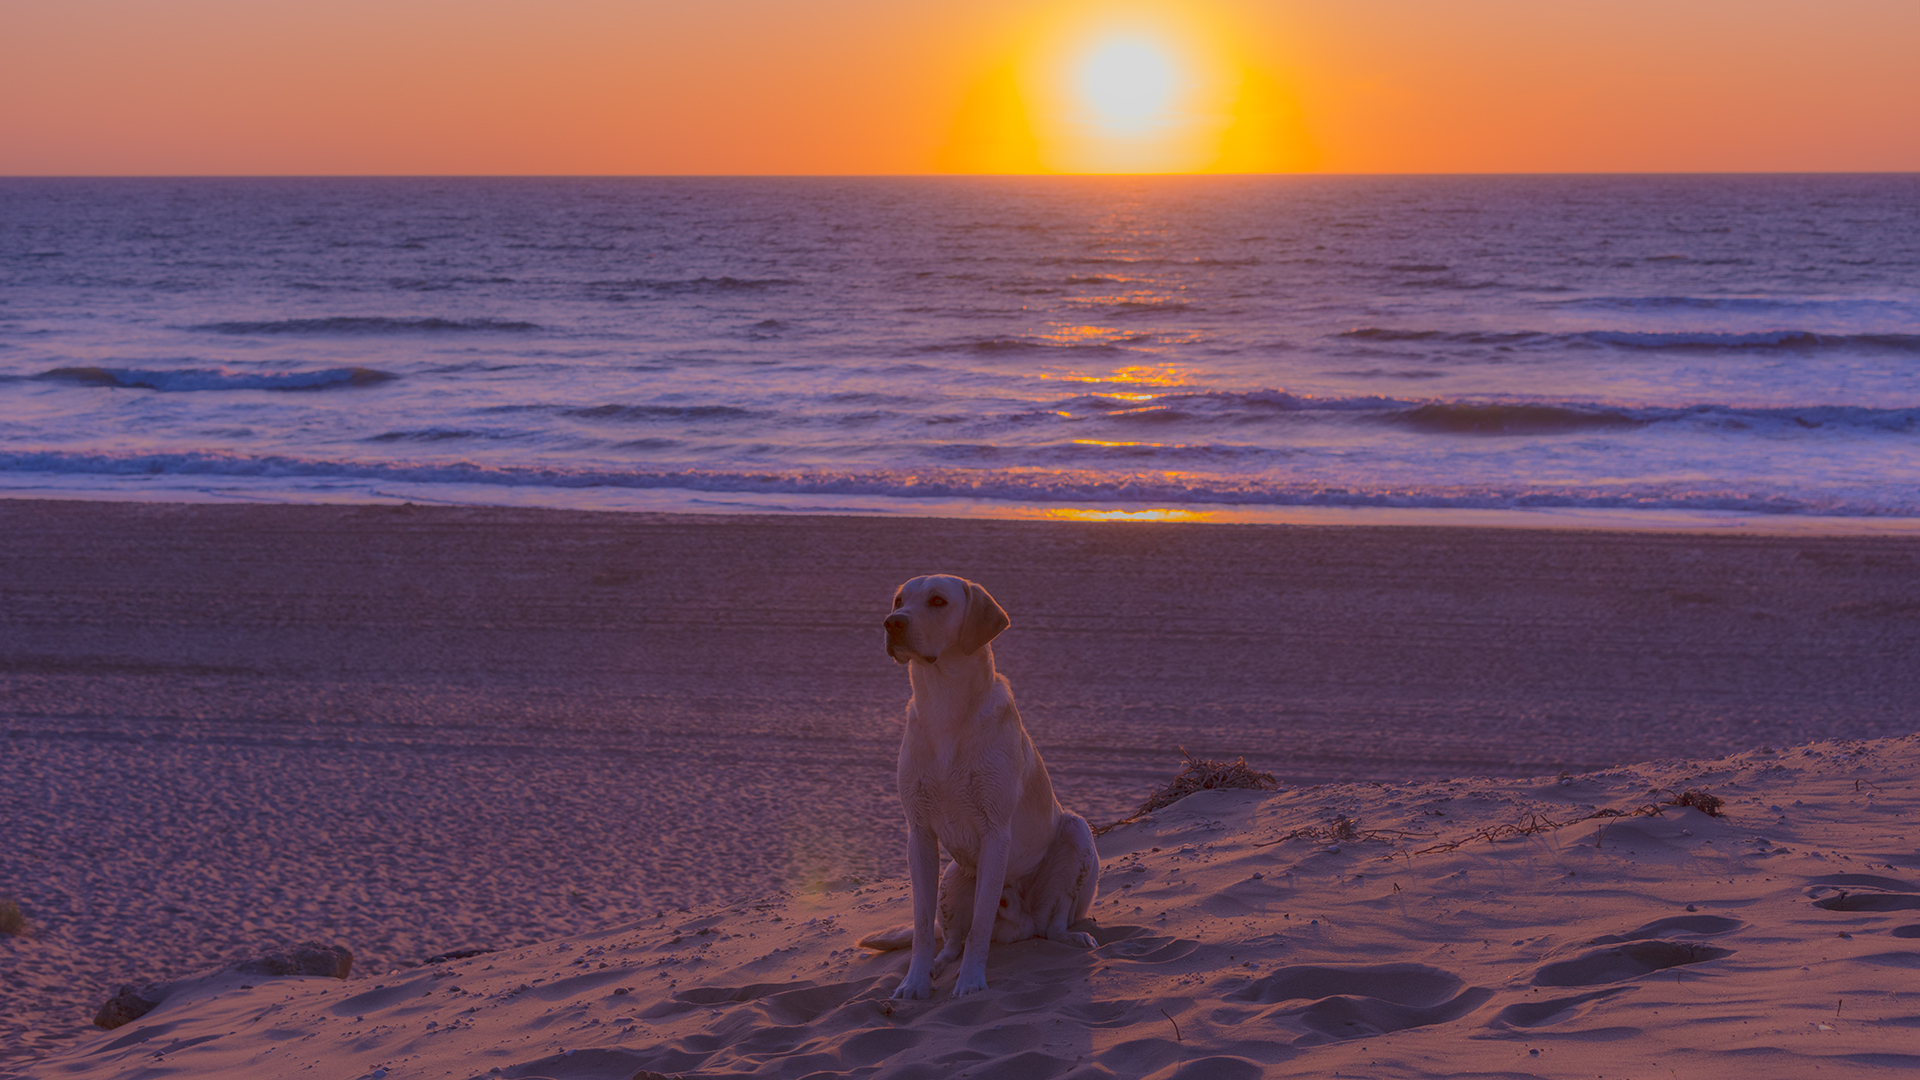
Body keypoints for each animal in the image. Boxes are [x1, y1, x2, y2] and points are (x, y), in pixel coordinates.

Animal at [864, 576, 1105, 999]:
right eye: (898, 600)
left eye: (938, 601)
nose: (892, 622)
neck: (943, 704)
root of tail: (1023, 925)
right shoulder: (919, 835)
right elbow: (923, 926)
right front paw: (914, 982)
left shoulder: (996, 832)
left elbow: (980, 923)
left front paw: (972, 982)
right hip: (951, 877)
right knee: (950, 939)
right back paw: (937, 966)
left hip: (1077, 835)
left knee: (1053, 924)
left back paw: (1071, 937)